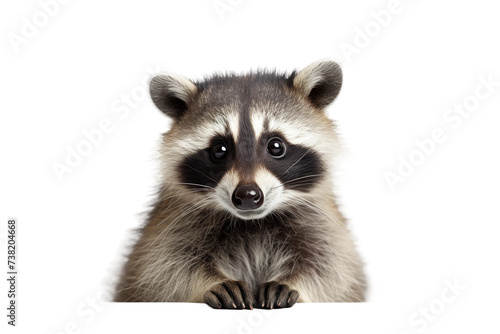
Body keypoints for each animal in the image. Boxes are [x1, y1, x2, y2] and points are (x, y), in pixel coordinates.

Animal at [116, 60, 368, 308]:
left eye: (276, 146)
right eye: (219, 149)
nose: (248, 195)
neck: (253, 223)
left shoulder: (321, 220)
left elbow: (332, 268)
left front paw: (293, 282)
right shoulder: (173, 223)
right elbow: (162, 270)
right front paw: (209, 282)